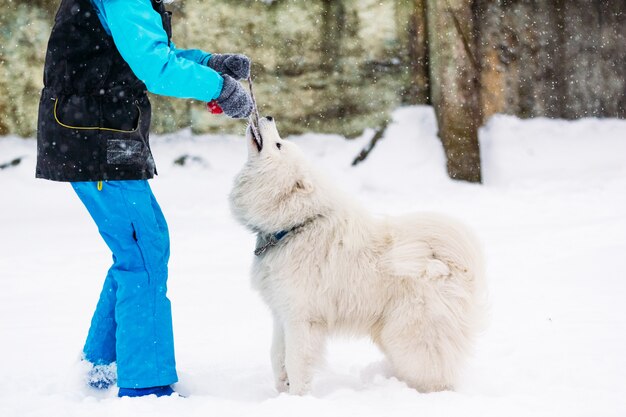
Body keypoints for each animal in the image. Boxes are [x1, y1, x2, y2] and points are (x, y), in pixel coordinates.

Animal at [229, 116, 488, 394]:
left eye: (278, 145)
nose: (268, 117)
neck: (294, 226)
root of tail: (451, 262)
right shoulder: (281, 313)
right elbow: (277, 355)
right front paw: (282, 389)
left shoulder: (302, 319)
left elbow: (296, 362)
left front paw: (297, 397)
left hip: (413, 335)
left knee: (436, 373)